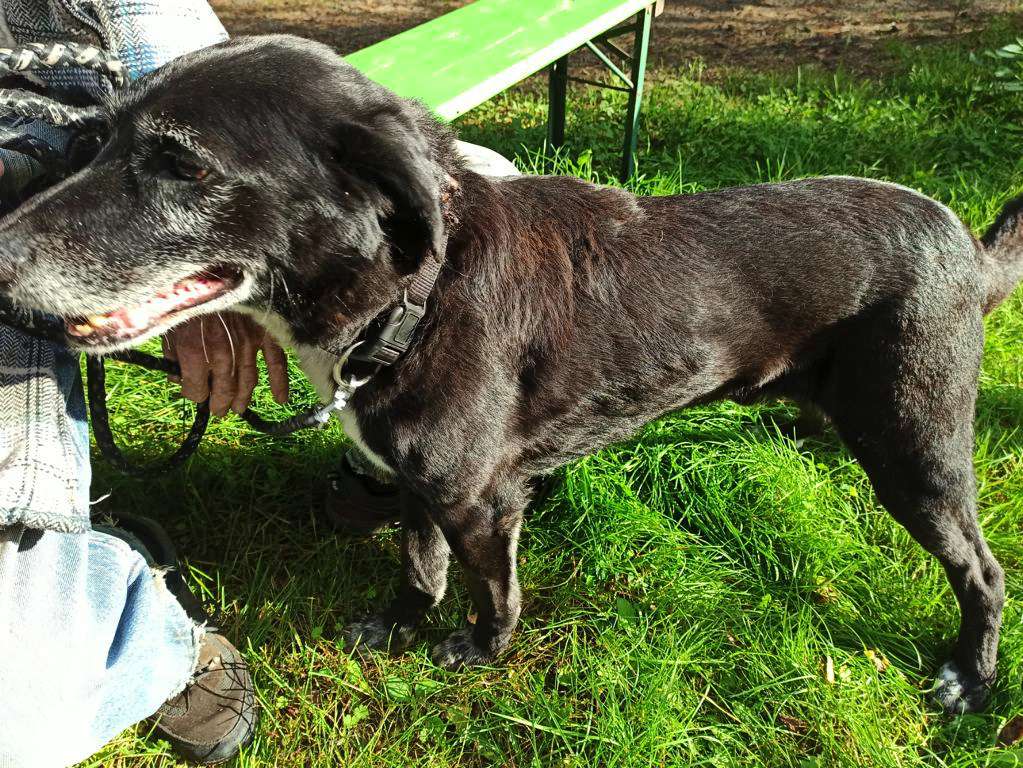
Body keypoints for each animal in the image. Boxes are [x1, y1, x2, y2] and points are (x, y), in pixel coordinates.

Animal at [0, 35, 1019, 715]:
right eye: (93, 139)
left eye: (180, 164)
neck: (410, 301)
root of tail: (968, 247)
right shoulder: (416, 486)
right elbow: (419, 569)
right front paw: (398, 626)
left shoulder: (482, 502)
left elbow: (493, 591)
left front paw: (479, 651)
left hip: (917, 446)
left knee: (983, 569)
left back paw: (969, 678)